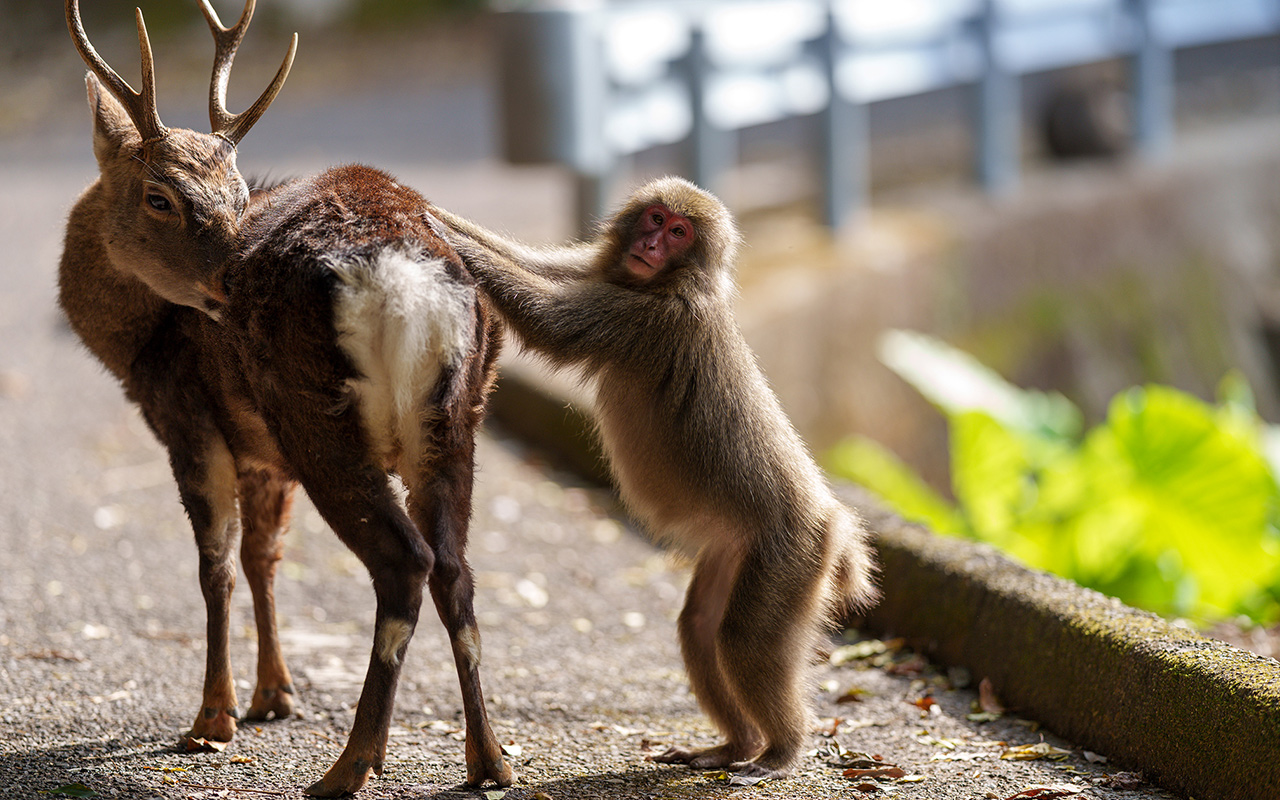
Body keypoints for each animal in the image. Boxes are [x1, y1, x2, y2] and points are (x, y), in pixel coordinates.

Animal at [60, 1, 513, 795]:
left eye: (238, 196)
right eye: (160, 197)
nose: (229, 276)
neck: (135, 344)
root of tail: (407, 276)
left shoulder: (189, 417)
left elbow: (215, 564)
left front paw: (213, 718)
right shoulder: (262, 452)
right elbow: (262, 557)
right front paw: (275, 694)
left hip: (317, 415)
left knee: (406, 563)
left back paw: (352, 763)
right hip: (456, 419)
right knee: (456, 569)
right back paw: (489, 759)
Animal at [430, 177, 878, 778]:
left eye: (679, 233)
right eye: (656, 219)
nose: (651, 245)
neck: (664, 281)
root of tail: (832, 521)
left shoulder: (652, 319)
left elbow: (548, 319)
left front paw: (438, 228)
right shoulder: (605, 273)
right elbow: (535, 266)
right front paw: (429, 210)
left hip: (791, 556)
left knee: (741, 639)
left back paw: (782, 749)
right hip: (736, 551)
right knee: (701, 628)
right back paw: (734, 745)